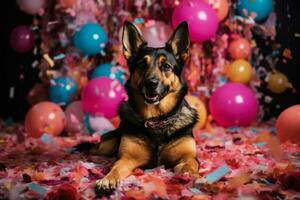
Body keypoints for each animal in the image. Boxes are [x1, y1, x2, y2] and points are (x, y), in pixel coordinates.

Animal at [88, 20, 199, 194]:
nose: (151, 83)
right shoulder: (127, 158)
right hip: (105, 146)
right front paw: (107, 179)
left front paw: (189, 174)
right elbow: (115, 167)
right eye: (141, 64)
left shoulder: (189, 156)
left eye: (166, 66)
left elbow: (189, 164)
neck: (156, 119)